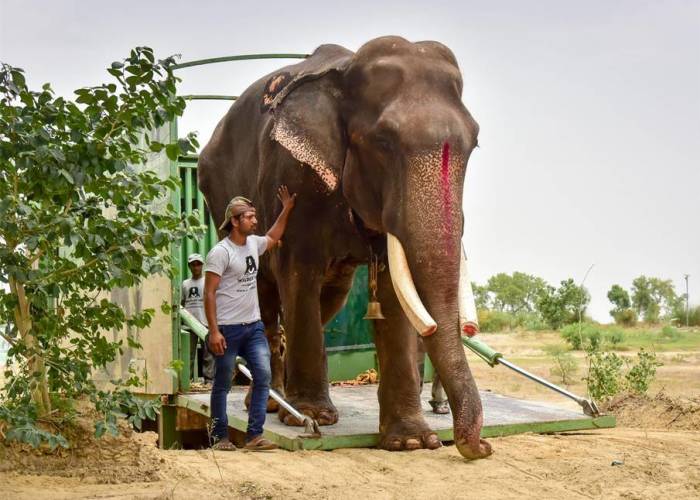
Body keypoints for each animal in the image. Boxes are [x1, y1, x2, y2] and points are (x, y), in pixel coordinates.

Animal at [198, 36, 492, 459]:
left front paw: (411, 441)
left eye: (474, 144)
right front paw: (311, 417)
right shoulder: (294, 174)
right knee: (267, 298)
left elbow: (392, 293)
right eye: (383, 141)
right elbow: (298, 271)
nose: (482, 446)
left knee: (329, 297)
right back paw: (270, 403)